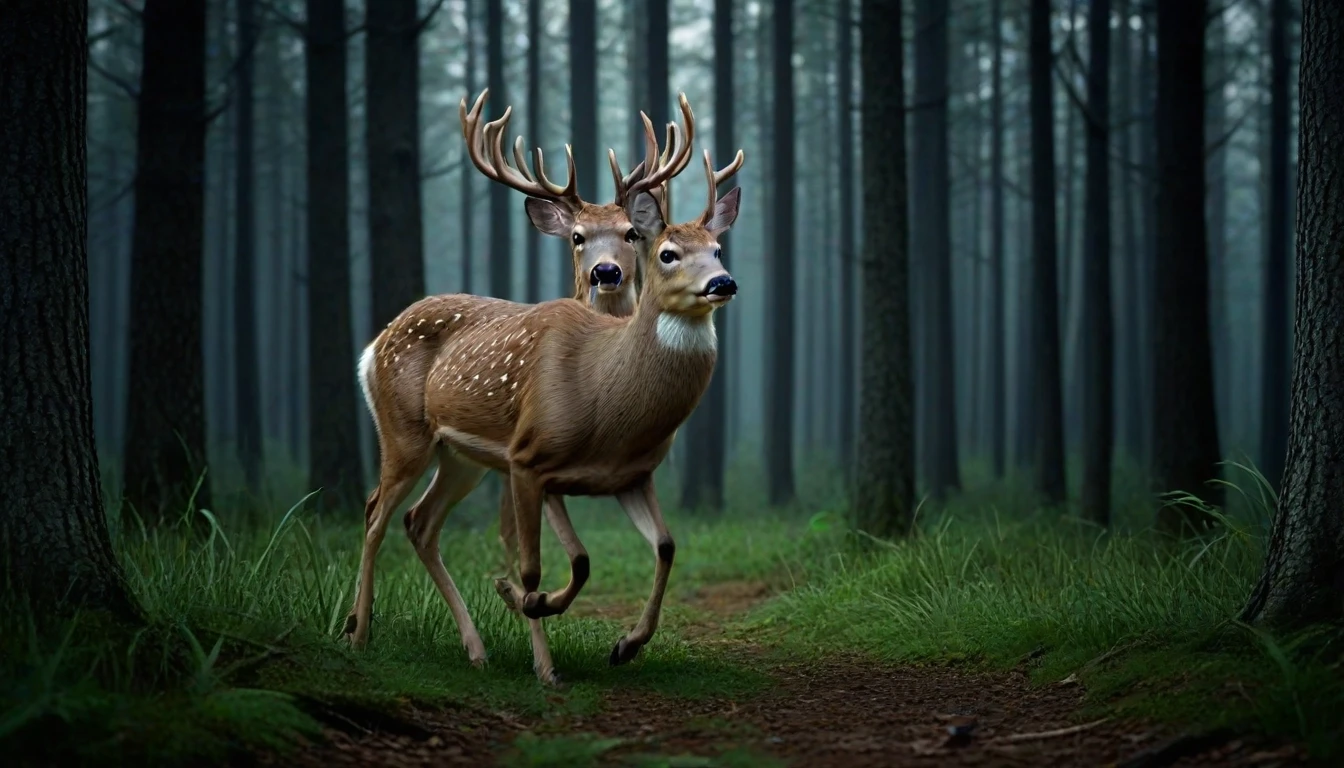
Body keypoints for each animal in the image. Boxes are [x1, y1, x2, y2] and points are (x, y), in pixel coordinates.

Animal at [346, 94, 745, 686]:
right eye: (668, 253)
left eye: (718, 249)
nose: (723, 282)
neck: (609, 403)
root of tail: (374, 345)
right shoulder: (530, 457)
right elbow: (551, 562)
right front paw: (540, 644)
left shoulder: (631, 474)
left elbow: (665, 546)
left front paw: (626, 644)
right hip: (405, 434)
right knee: (376, 513)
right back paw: (359, 633)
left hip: (461, 457)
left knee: (420, 522)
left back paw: (475, 648)